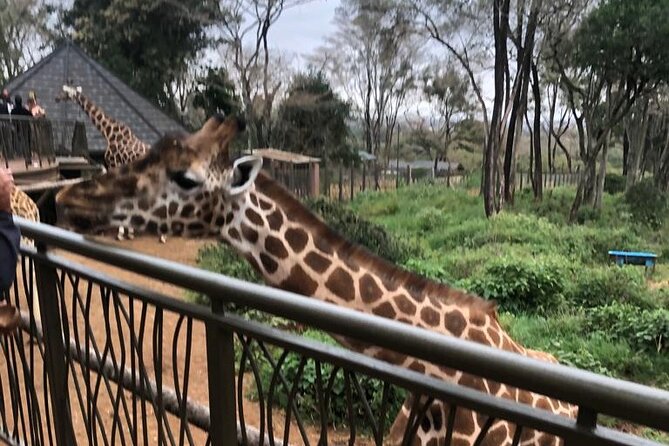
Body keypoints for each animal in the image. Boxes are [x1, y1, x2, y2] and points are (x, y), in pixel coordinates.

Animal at [55, 85, 167, 243]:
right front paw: (128, 232)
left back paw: (163, 234)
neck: (108, 132)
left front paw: (121, 233)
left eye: (65, 92)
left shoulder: (114, 165)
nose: (56, 98)